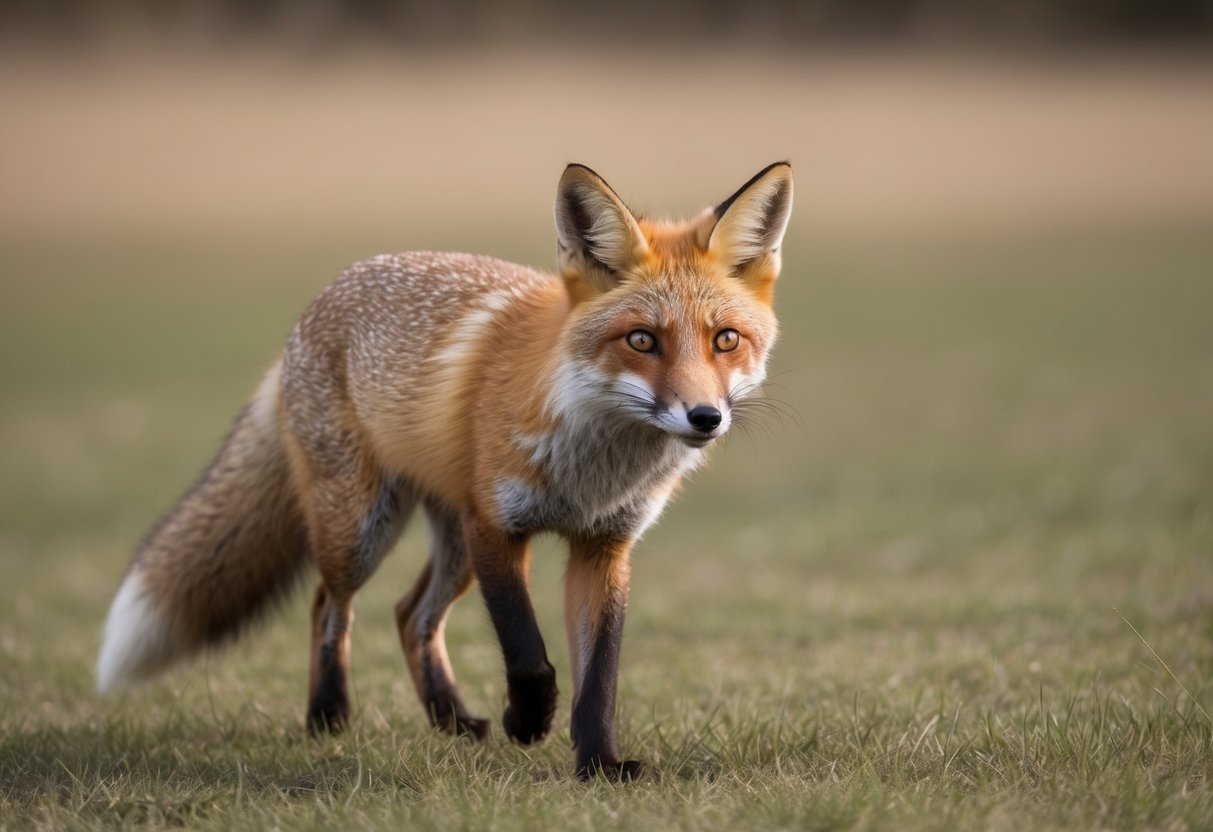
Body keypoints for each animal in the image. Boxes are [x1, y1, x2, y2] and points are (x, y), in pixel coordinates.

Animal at [96, 161, 792, 780]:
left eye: (726, 340)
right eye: (642, 340)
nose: (705, 418)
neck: (591, 471)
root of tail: (320, 301)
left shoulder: (604, 546)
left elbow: (600, 677)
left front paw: (599, 765)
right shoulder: (496, 527)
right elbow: (528, 652)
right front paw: (527, 722)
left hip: (451, 546)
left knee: (411, 616)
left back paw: (450, 718)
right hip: (363, 528)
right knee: (329, 604)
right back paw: (328, 714)